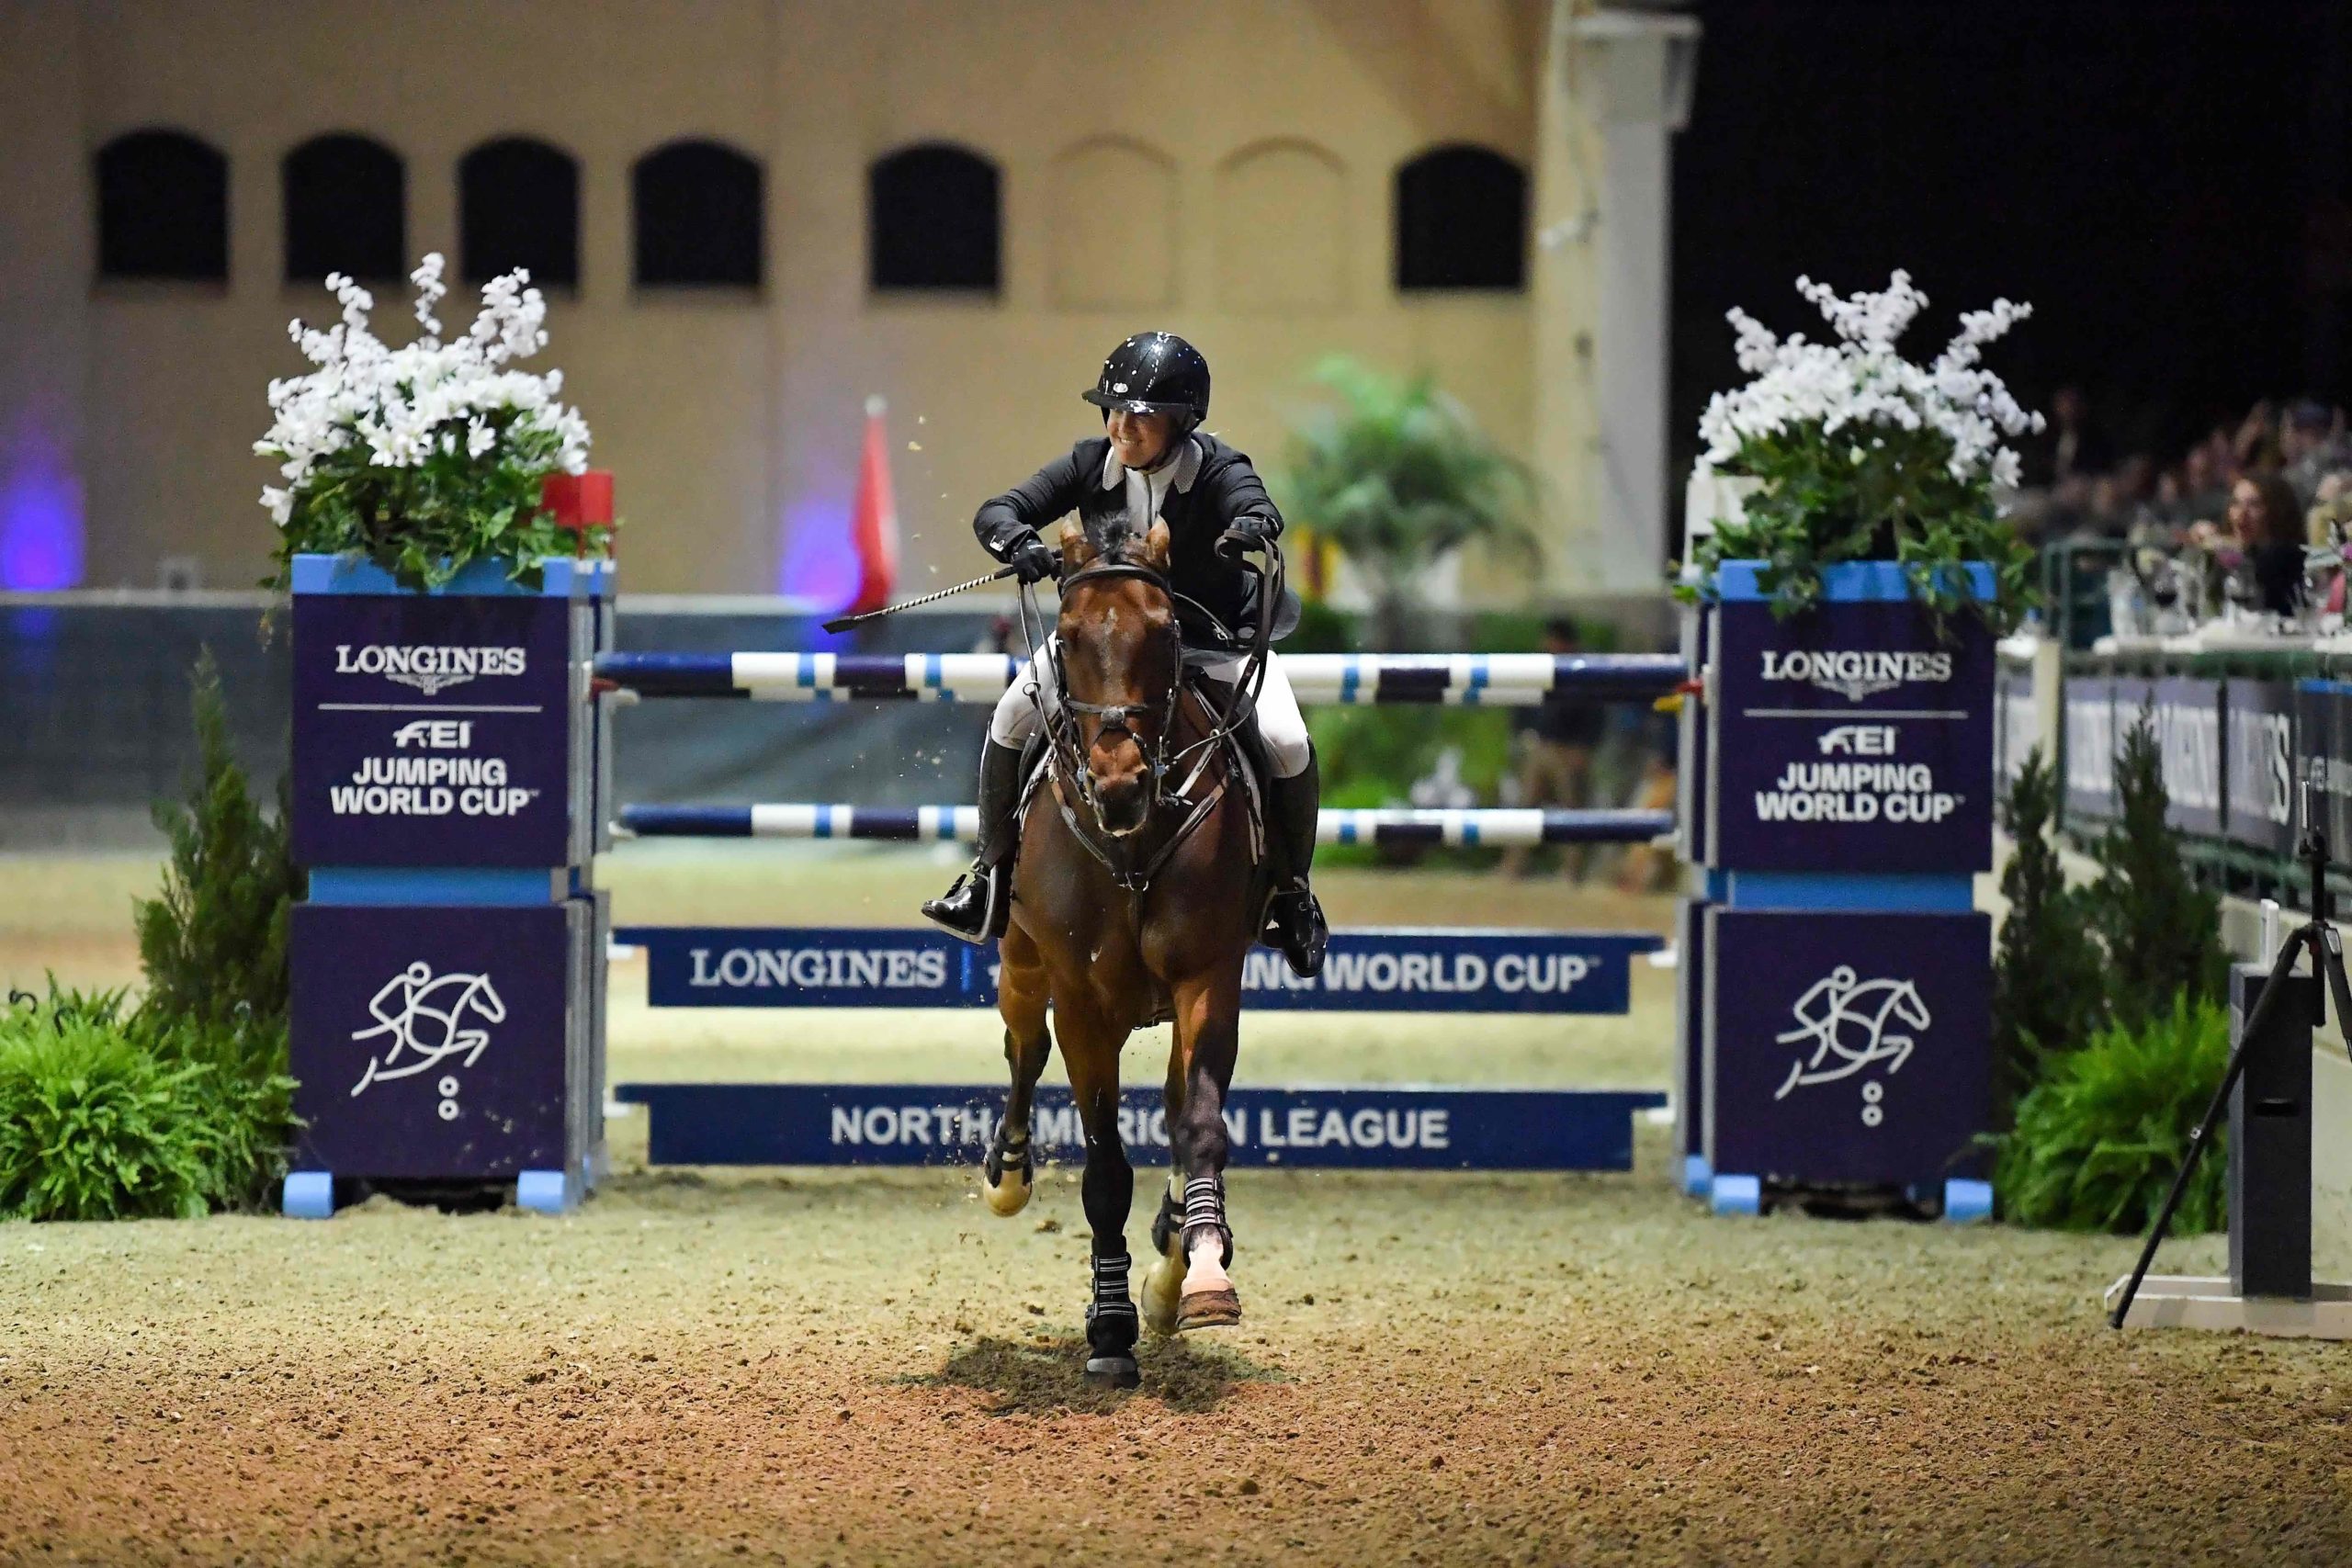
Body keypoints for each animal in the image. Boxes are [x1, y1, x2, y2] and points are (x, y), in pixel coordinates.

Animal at [973, 512, 1279, 1382]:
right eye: (1070, 635)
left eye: (1166, 629)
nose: (1118, 788)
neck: (1133, 846)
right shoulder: (1082, 1004)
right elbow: (1105, 1169)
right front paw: (1109, 1328)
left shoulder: (1208, 979)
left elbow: (1198, 1124)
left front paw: (1199, 1270)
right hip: (1020, 964)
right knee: (1022, 1047)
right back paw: (1008, 1173)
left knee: (1176, 1102)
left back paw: (1175, 1260)